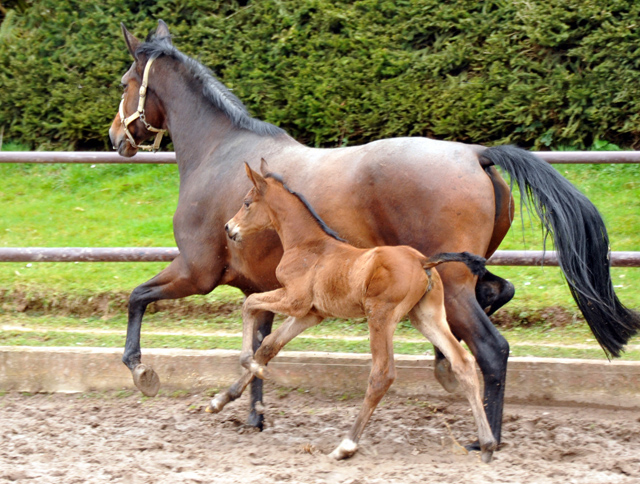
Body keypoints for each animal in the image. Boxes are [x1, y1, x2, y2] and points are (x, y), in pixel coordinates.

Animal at [208, 161, 498, 464]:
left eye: (247, 202)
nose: (229, 227)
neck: (307, 245)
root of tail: (423, 261)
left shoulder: (294, 300)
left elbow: (250, 303)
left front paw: (247, 363)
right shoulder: (310, 314)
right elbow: (268, 346)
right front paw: (221, 399)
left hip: (380, 317)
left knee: (382, 374)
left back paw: (346, 444)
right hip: (426, 317)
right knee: (463, 362)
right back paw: (487, 443)